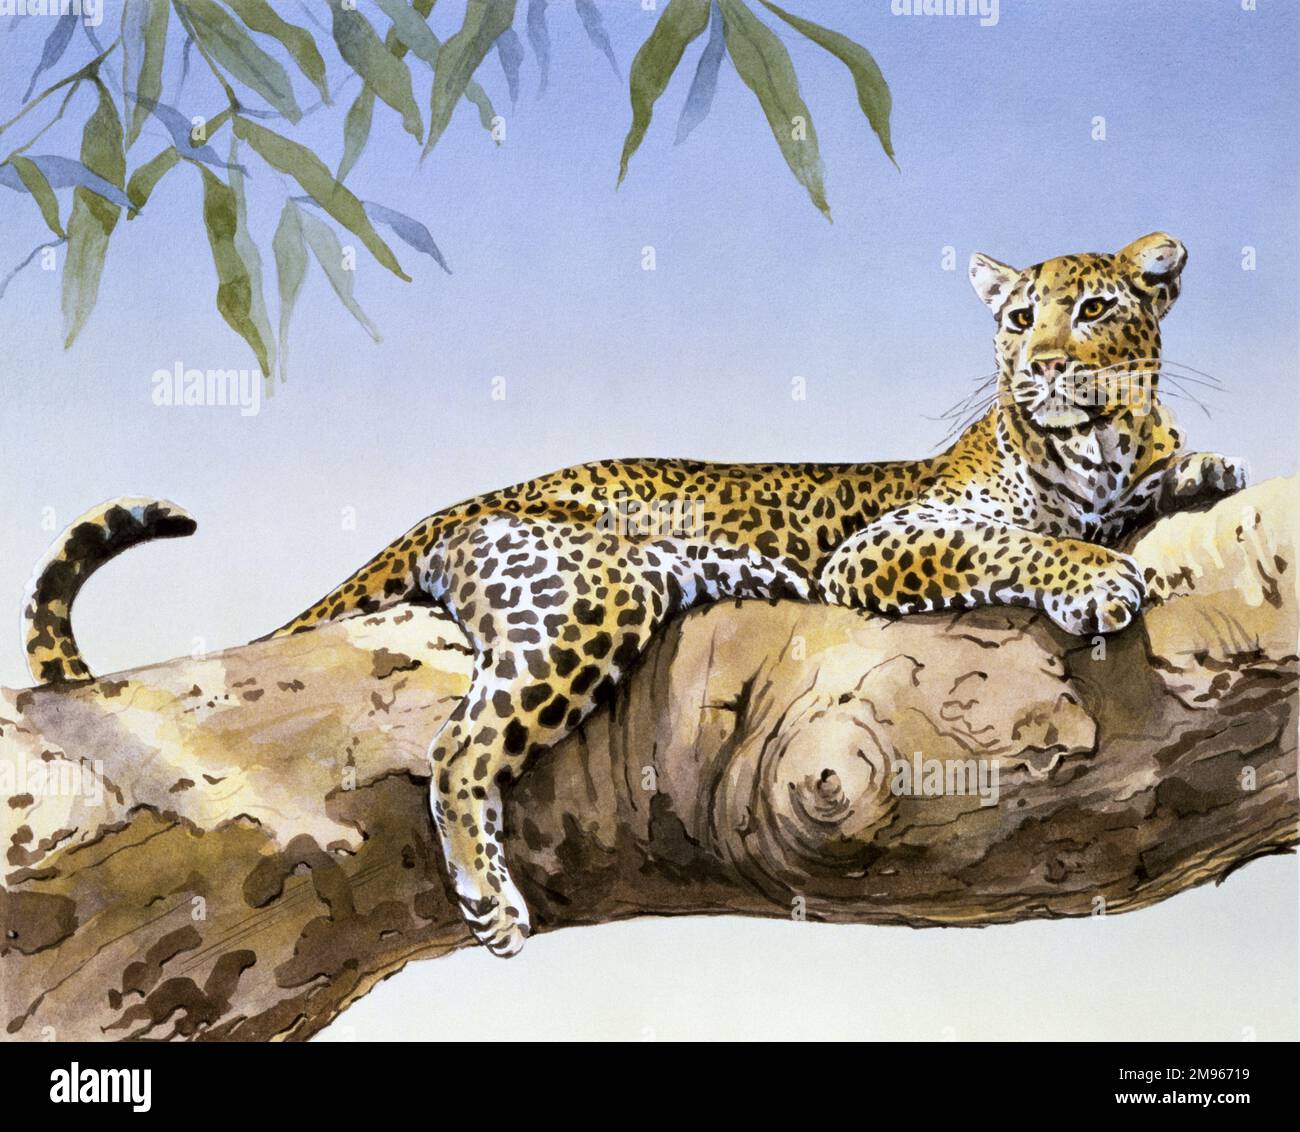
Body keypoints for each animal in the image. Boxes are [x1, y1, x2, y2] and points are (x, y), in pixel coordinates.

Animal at [23, 232, 1246, 957]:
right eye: (1017, 319)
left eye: (1095, 308)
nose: (1043, 366)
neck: (1092, 448)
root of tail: (474, 498)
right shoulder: (883, 548)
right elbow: (1018, 543)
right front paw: (1097, 573)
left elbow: (1157, 476)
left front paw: (1200, 469)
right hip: (588, 594)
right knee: (457, 749)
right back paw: (492, 901)